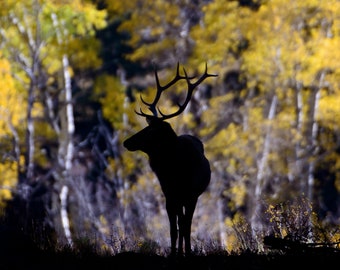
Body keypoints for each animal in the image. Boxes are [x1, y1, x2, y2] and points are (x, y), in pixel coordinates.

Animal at [123, 62, 216, 255]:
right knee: (179, 223)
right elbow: (174, 228)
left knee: (185, 223)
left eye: (149, 130)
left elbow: (186, 226)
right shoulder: (169, 194)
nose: (126, 142)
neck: (175, 170)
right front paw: (174, 253)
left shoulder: (191, 195)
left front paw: (187, 252)